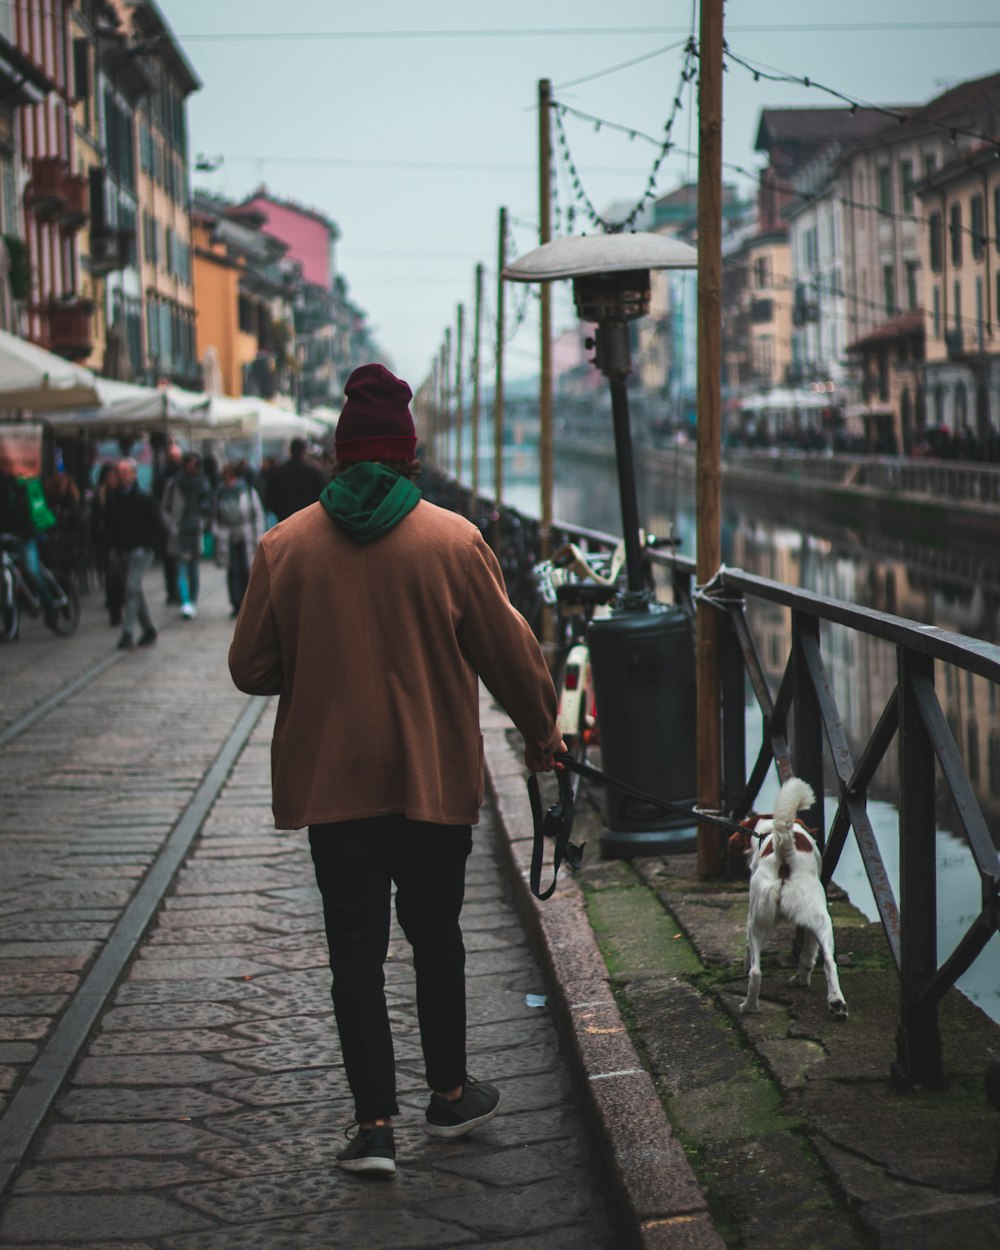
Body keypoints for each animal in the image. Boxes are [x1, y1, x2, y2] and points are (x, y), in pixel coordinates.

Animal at [730, 775, 850, 1020]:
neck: (768, 831)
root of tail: (784, 856)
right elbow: (808, 953)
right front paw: (802, 979)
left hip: (756, 922)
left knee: (756, 972)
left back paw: (749, 1006)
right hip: (819, 920)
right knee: (829, 963)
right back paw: (835, 1002)